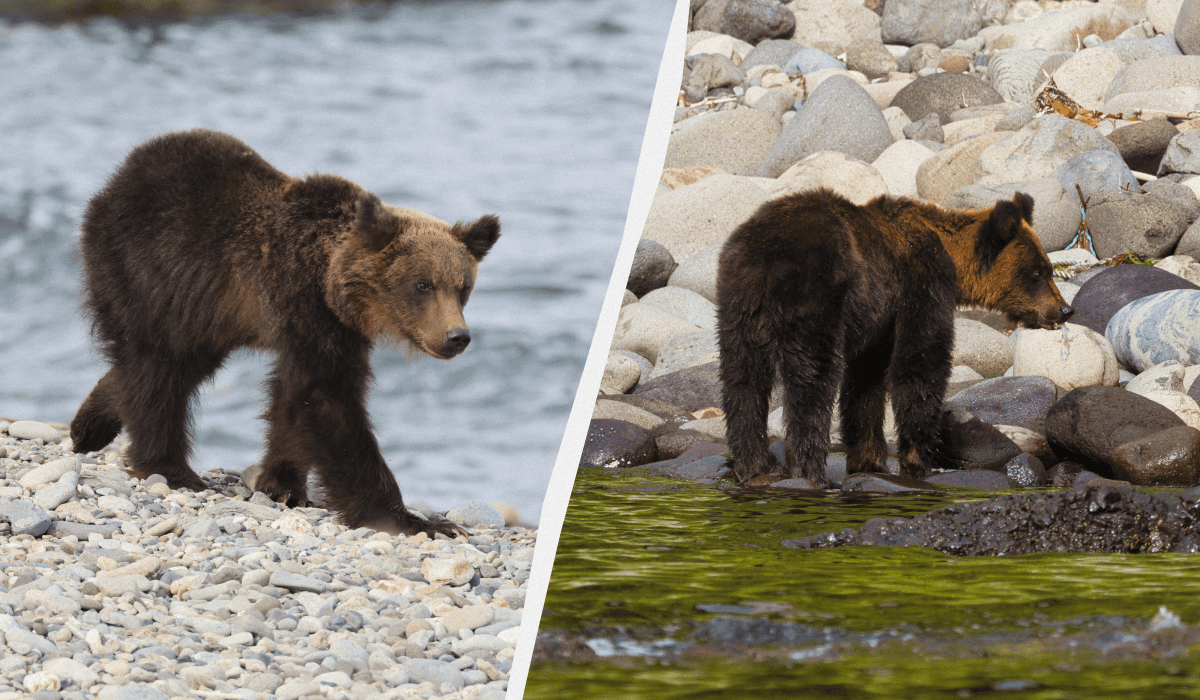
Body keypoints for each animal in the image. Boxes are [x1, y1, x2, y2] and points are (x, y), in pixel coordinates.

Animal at [68, 130, 499, 537]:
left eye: (463, 287)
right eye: (423, 284)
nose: (457, 336)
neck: (330, 281)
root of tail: (118, 178)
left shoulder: (329, 327)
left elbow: (293, 398)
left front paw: (284, 485)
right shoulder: (304, 305)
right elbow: (326, 399)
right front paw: (409, 518)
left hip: (206, 312)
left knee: (173, 364)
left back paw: (89, 425)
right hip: (150, 271)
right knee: (157, 366)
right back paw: (169, 468)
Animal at [715, 192, 1075, 487]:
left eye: (1047, 267)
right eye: (1039, 271)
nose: (1064, 309)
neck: (952, 257)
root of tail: (768, 256)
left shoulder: (877, 318)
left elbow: (865, 382)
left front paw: (869, 460)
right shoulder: (921, 286)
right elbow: (920, 364)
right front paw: (917, 462)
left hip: (739, 302)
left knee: (742, 381)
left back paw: (754, 465)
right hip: (815, 295)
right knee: (812, 382)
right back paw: (809, 471)